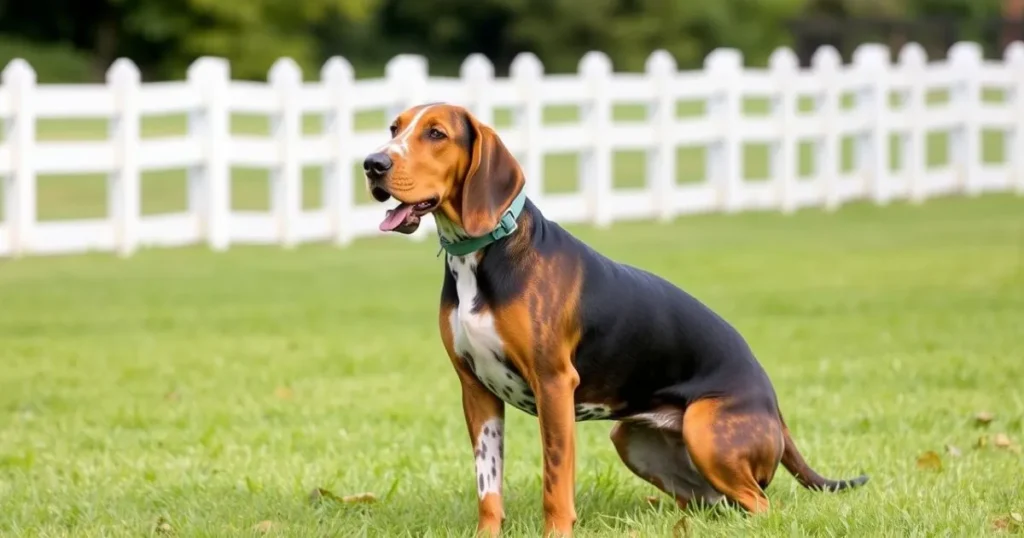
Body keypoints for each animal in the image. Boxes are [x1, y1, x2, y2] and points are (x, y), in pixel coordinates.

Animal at [364, 102, 868, 532]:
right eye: (394, 128)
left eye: (436, 134)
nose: (373, 163)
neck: (482, 254)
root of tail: (773, 404)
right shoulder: (476, 391)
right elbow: (488, 487)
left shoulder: (553, 384)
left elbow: (555, 482)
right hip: (631, 439)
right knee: (716, 503)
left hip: (705, 429)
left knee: (762, 505)